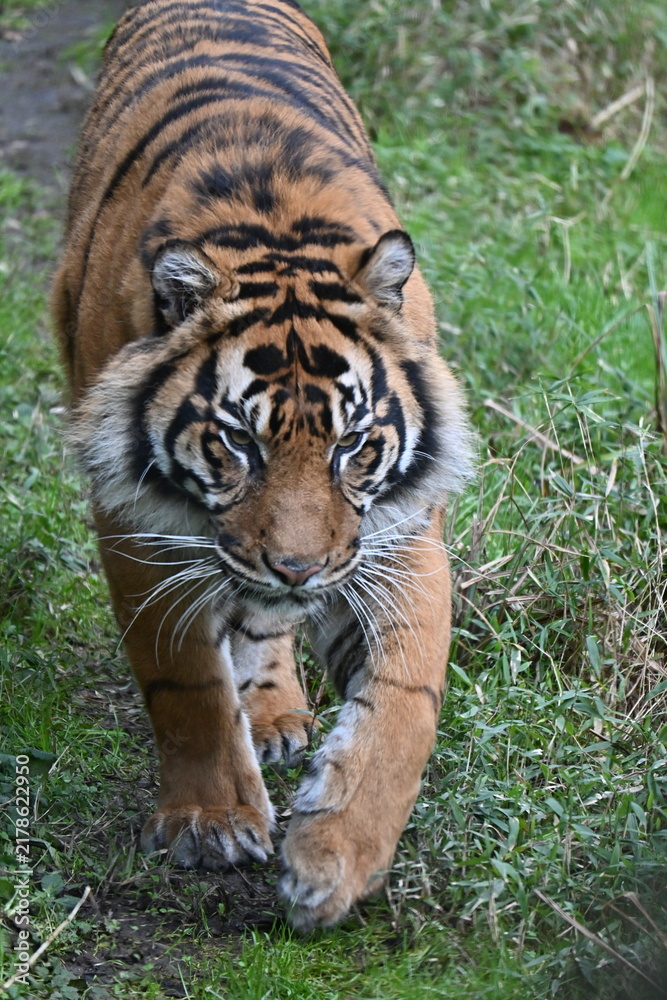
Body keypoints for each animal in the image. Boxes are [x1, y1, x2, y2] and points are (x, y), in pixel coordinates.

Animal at [52, 0, 473, 930]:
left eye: (351, 447)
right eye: (237, 445)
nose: (297, 567)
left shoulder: (396, 536)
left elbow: (403, 703)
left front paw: (335, 858)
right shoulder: (135, 522)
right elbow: (184, 681)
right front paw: (210, 822)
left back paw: (277, 711)